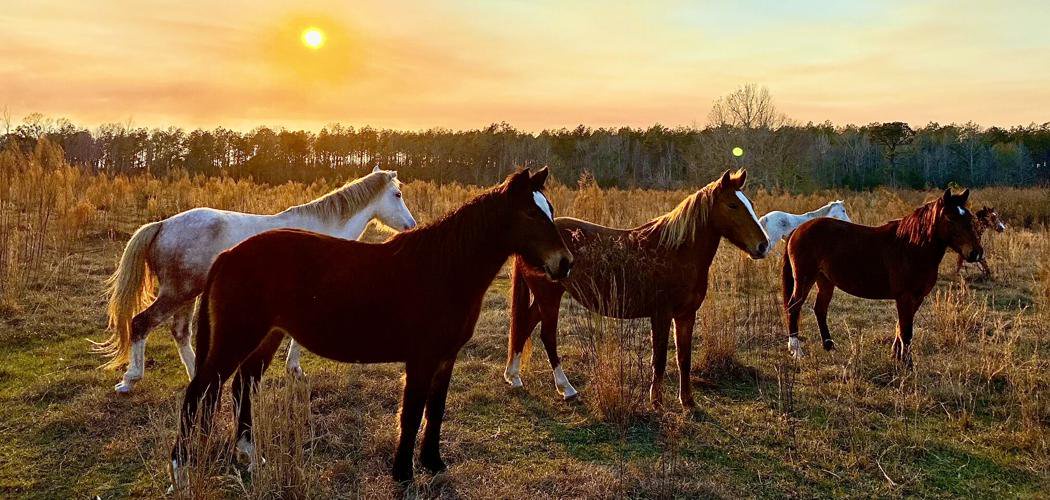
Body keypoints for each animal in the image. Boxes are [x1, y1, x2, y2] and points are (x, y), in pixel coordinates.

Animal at [93, 166, 416, 393]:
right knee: (141, 324)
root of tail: (163, 225)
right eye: (397, 195)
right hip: (177, 293)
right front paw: (295, 371)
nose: (411, 226)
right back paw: (129, 380)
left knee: (180, 333)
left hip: (187, 294)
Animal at [169, 168, 572, 485]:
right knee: (198, 393)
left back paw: (249, 456)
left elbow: (435, 411)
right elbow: (411, 414)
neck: (444, 269)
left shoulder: (446, 359)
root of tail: (228, 255)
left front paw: (433, 463)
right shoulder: (422, 359)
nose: (565, 263)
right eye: (531, 213)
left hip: (265, 337)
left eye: (550, 210)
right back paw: (180, 471)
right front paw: (403, 474)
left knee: (242, 386)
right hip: (235, 339)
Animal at [505, 169, 769, 409]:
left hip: (545, 297)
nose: (763, 245)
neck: (676, 251)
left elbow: (684, 358)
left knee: (524, 325)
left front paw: (688, 402)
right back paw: (566, 389)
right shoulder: (661, 314)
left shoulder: (686, 315)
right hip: (549, 297)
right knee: (547, 336)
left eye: (750, 204)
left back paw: (514, 377)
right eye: (733, 205)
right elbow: (659, 358)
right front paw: (657, 402)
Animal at [782, 189, 983, 365]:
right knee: (794, 307)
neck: (912, 246)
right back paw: (797, 351)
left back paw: (829, 346)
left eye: (969, 217)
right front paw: (907, 364)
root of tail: (797, 230)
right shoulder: (905, 297)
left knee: (820, 309)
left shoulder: (917, 298)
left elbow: (900, 327)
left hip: (825, 281)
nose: (976, 253)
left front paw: (896, 356)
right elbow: (906, 332)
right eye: (950, 218)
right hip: (805, 278)